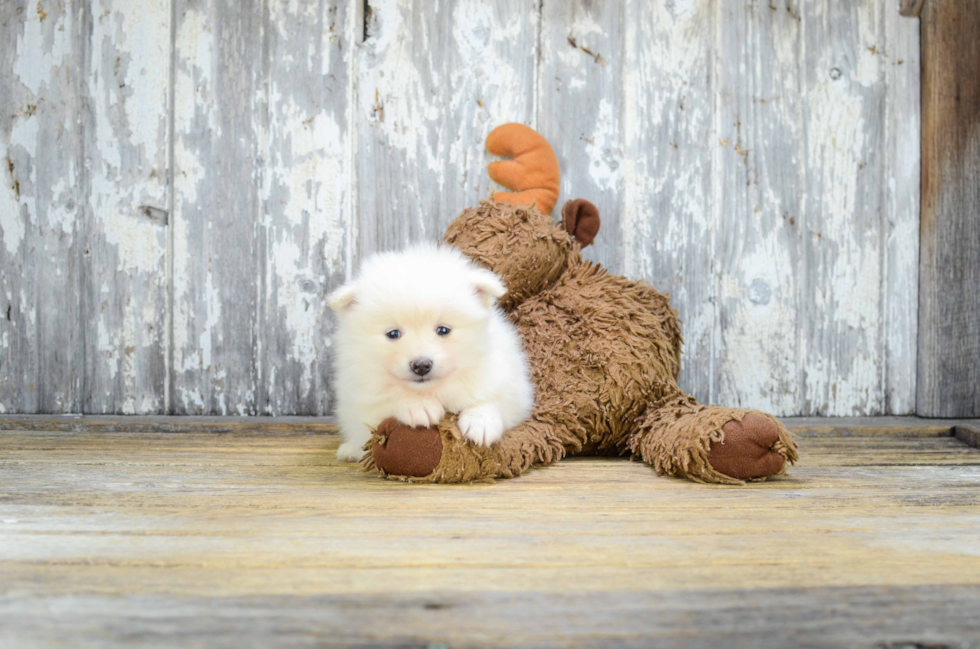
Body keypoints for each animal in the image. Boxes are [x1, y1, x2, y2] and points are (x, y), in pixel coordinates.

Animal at [326, 243, 532, 460]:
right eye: (393, 334)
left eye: (443, 330)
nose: (422, 365)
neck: (434, 390)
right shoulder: (360, 395)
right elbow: (386, 401)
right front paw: (417, 406)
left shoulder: (510, 383)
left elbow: (494, 400)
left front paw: (481, 421)